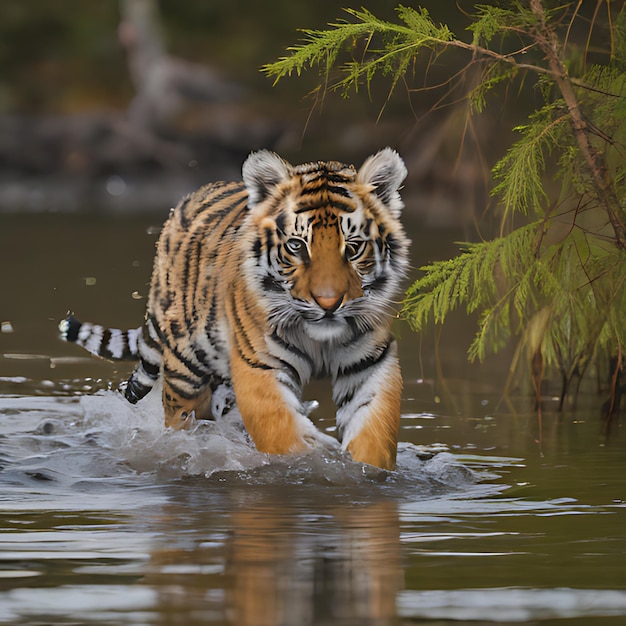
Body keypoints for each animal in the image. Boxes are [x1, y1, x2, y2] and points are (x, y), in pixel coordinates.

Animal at [59, 147, 410, 468]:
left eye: (354, 248)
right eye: (296, 245)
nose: (328, 303)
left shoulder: (369, 363)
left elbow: (373, 431)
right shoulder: (259, 364)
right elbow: (280, 430)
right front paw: (310, 459)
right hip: (186, 368)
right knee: (181, 415)